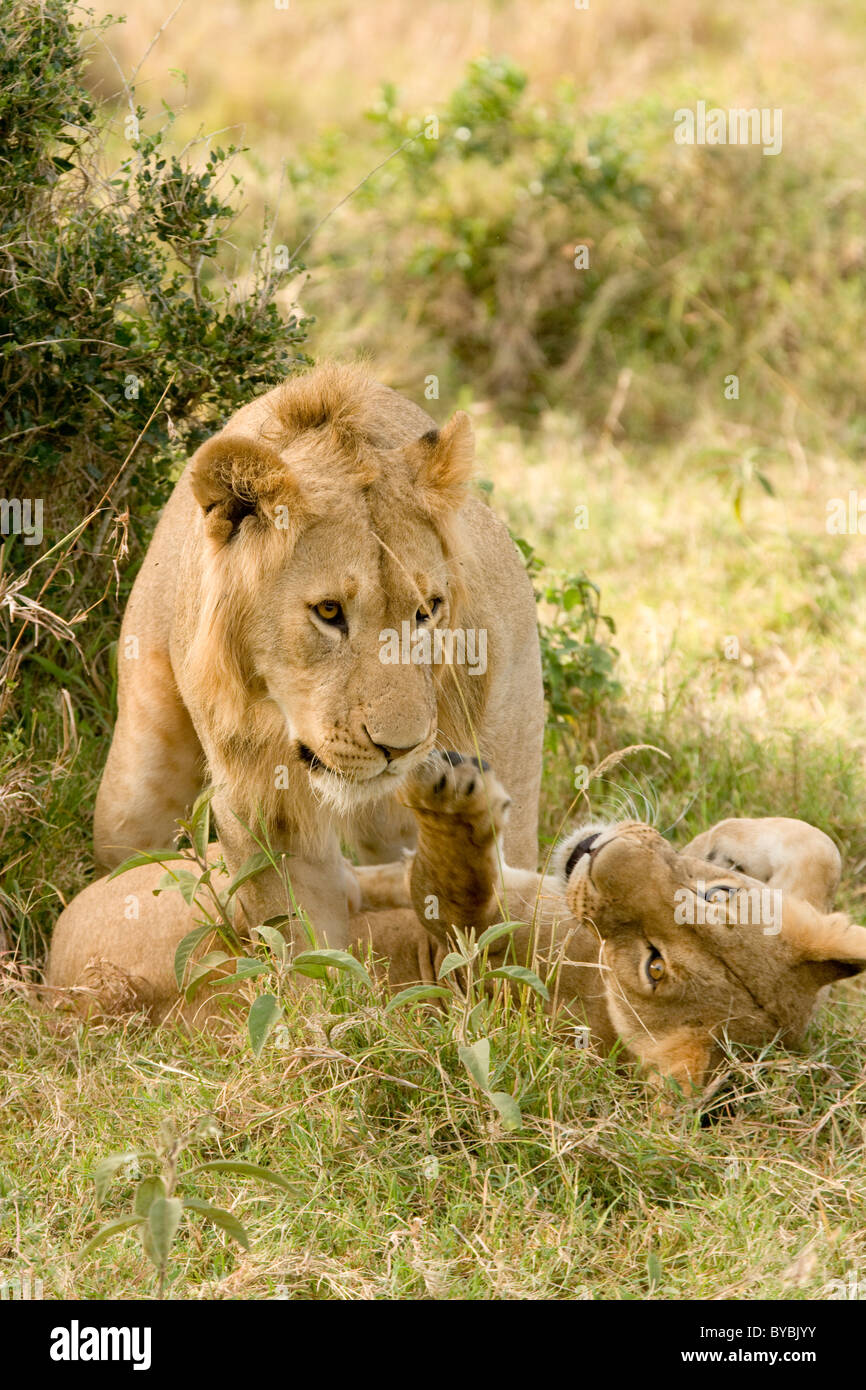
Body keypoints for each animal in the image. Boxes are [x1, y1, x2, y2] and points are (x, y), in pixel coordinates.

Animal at [48, 752, 866, 1090]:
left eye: (654, 966)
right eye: (717, 898)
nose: (604, 859)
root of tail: (98, 996)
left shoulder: (467, 958)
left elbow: (455, 899)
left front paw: (452, 803)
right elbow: (821, 852)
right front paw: (727, 839)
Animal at [92, 363, 544, 963]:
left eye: (427, 611)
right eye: (329, 611)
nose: (399, 749)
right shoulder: (263, 810)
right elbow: (307, 949)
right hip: (130, 799)